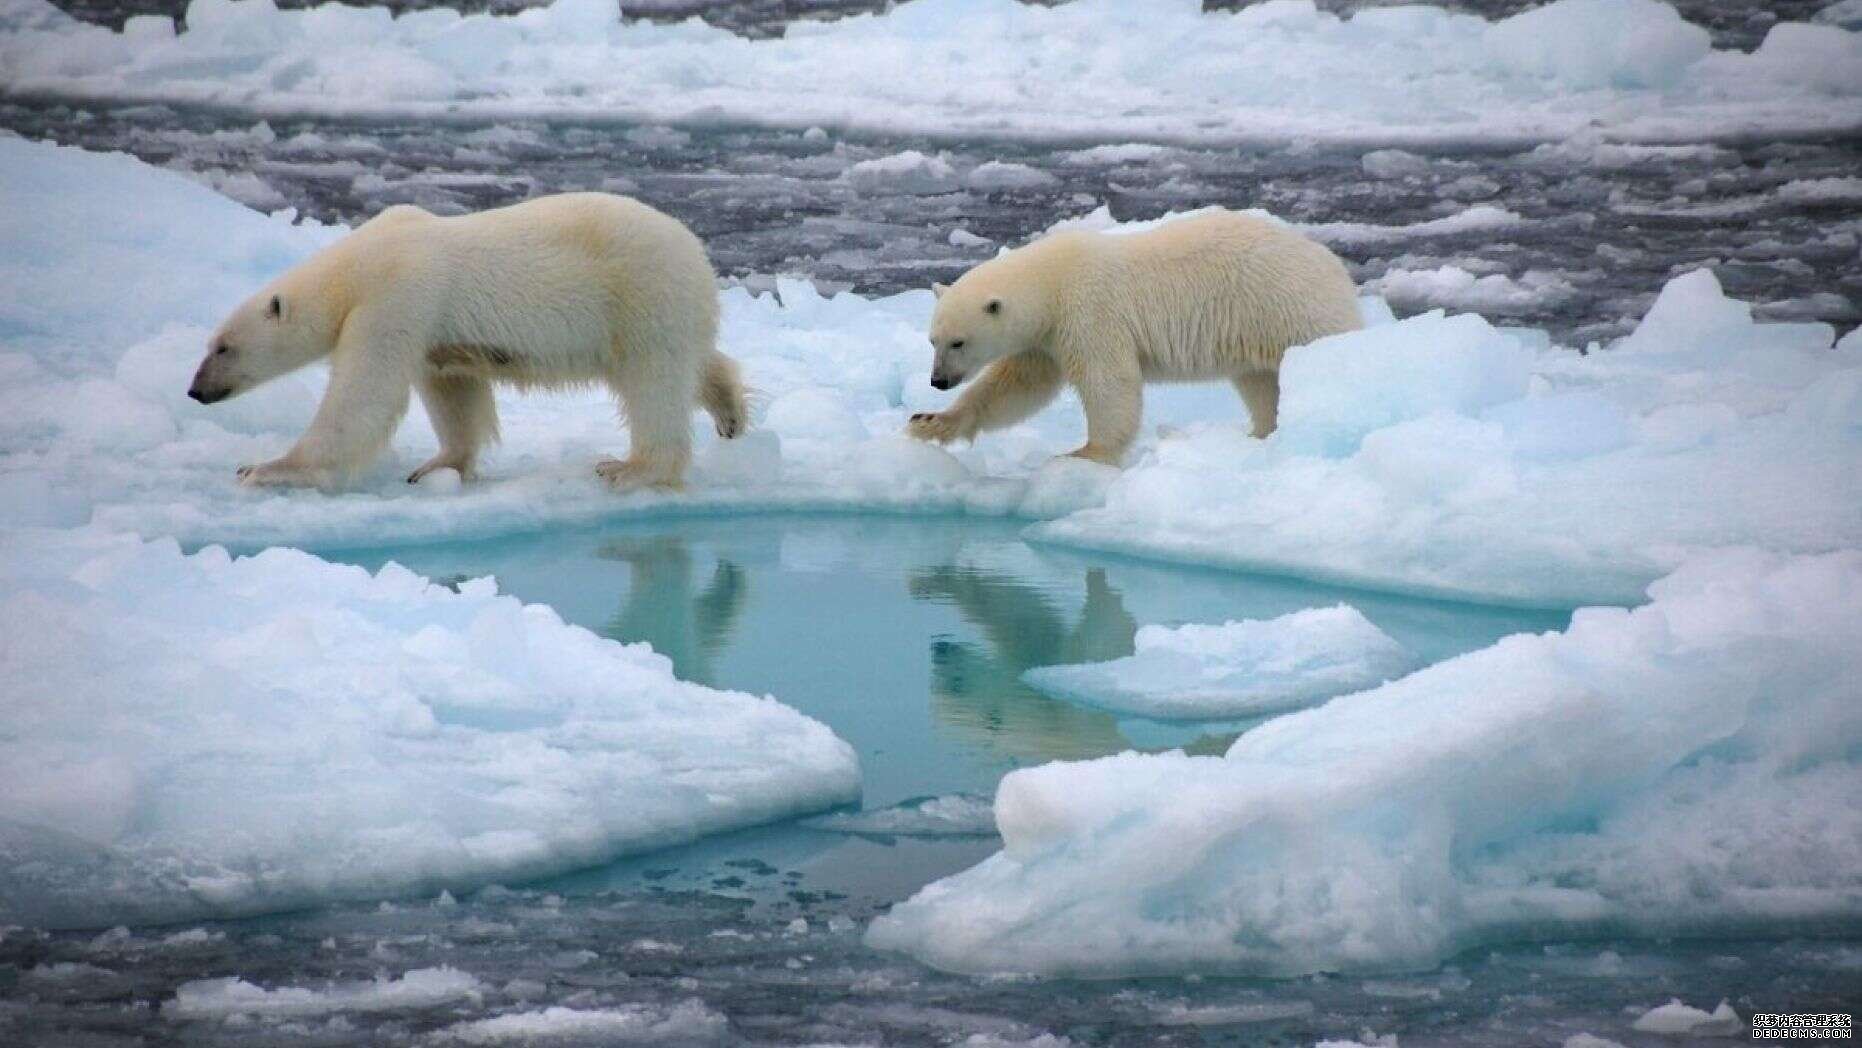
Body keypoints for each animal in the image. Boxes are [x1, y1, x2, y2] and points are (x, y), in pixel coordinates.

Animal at [185, 194, 744, 491]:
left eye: (223, 347)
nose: (195, 391)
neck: (358, 265)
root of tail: (697, 251)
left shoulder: (396, 297)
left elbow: (363, 396)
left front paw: (265, 468)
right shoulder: (433, 331)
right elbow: (453, 391)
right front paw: (437, 467)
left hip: (641, 295)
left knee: (654, 383)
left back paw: (630, 468)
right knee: (695, 363)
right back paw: (731, 411)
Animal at [908, 209, 1362, 463]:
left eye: (958, 342)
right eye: (933, 340)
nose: (938, 381)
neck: (1052, 282)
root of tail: (1333, 265)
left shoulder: (1089, 313)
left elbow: (1109, 383)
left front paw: (1085, 452)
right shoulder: (1045, 339)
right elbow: (1017, 387)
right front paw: (929, 423)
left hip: (1292, 310)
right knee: (1259, 383)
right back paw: (1261, 433)